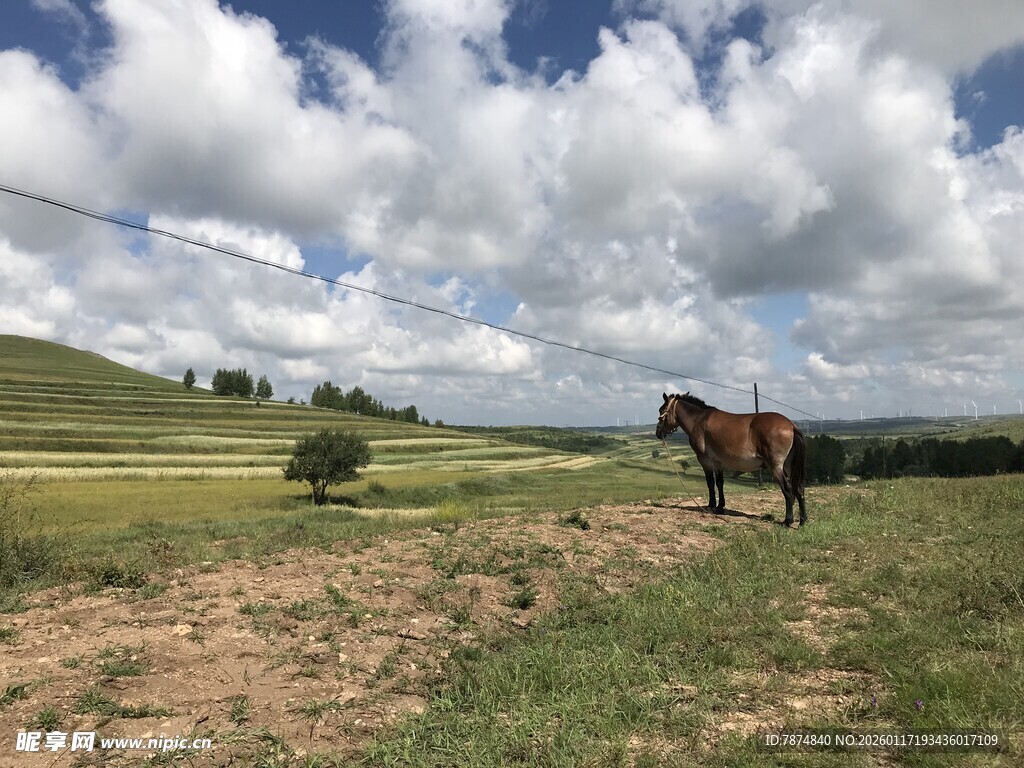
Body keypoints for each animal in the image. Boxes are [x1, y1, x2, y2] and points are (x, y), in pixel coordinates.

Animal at [655, 392, 807, 526]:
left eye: (661, 411)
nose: (658, 433)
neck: (699, 420)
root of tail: (791, 426)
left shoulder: (705, 460)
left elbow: (710, 483)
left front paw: (711, 505)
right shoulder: (718, 462)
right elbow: (719, 483)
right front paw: (720, 507)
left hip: (776, 467)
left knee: (788, 489)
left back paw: (788, 520)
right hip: (789, 466)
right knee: (799, 489)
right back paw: (802, 521)